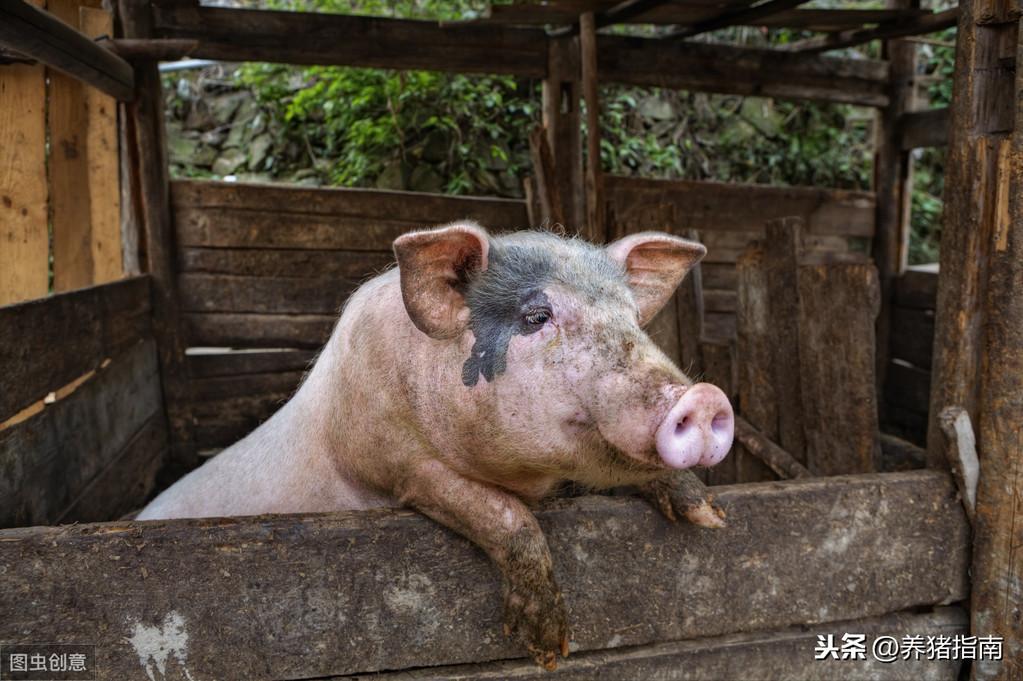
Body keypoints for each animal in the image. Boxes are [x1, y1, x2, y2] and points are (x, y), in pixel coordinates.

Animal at [142, 221, 736, 662]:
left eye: (634, 320)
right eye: (536, 316)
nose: (704, 397)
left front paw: (710, 518)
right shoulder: (397, 469)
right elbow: (503, 513)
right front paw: (549, 648)